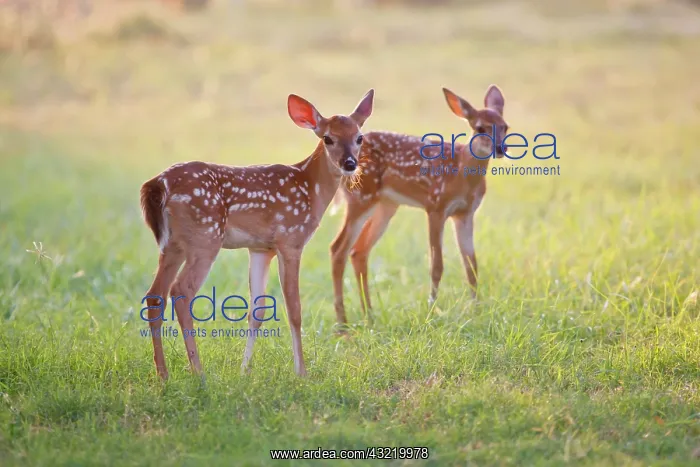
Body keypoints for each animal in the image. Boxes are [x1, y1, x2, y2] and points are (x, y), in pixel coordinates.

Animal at [140, 89, 374, 379]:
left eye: (359, 137)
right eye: (327, 138)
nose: (350, 163)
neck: (311, 189)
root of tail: (158, 184)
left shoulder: (261, 248)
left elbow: (257, 311)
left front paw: (244, 371)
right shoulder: (291, 239)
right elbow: (294, 309)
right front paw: (302, 372)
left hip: (173, 244)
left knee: (155, 295)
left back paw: (163, 375)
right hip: (205, 237)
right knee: (181, 291)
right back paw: (199, 373)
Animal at [330, 85, 509, 327]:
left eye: (505, 126)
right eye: (480, 127)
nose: (500, 148)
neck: (462, 173)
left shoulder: (465, 213)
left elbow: (472, 265)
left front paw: (477, 310)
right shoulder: (435, 205)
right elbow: (437, 265)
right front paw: (431, 309)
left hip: (386, 204)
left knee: (359, 250)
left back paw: (370, 315)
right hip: (361, 197)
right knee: (338, 249)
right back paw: (343, 323)